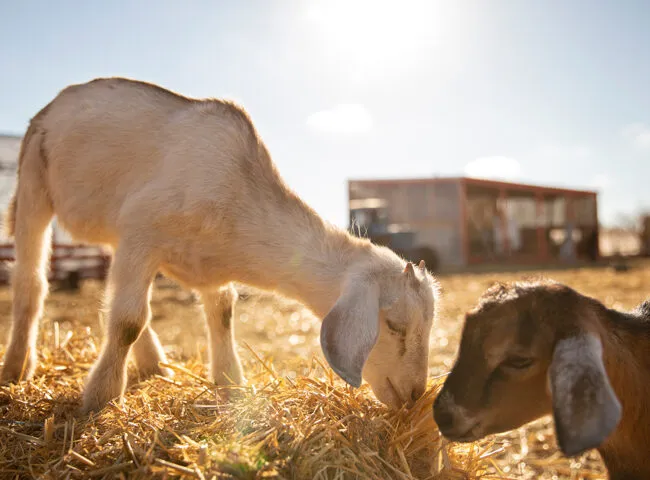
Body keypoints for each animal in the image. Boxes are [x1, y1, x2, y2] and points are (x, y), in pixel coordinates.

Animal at [0, 77, 440, 415]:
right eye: (395, 325)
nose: (414, 395)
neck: (238, 195)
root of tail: (56, 102)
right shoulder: (142, 232)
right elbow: (127, 320)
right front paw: (100, 396)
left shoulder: (197, 261)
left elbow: (222, 313)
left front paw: (231, 383)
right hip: (34, 179)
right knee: (32, 282)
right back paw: (16, 367)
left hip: (113, 230)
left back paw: (154, 364)